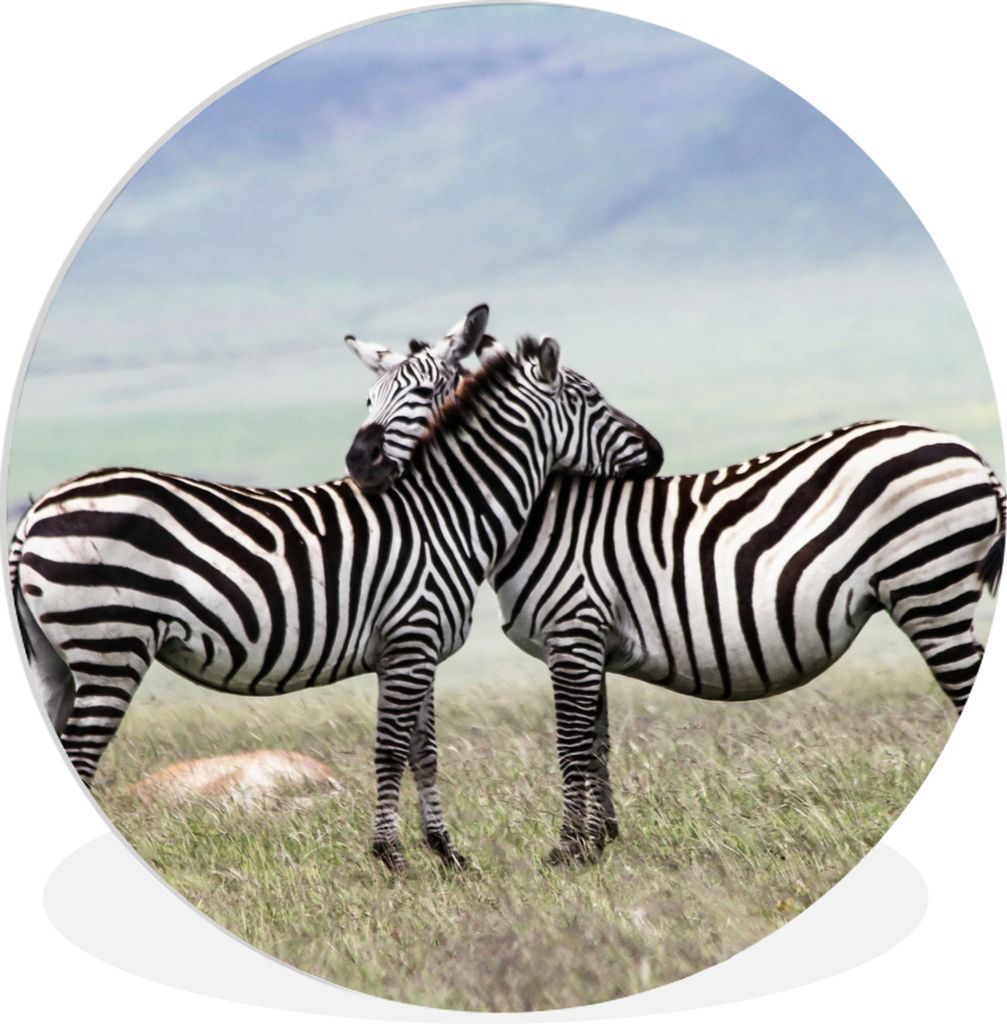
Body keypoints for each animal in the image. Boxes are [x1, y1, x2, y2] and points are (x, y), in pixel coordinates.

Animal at [9, 304, 664, 872]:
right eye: (594, 398)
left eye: (422, 393)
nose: (655, 452)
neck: (444, 509)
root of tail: (35, 512)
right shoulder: (410, 640)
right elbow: (390, 750)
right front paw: (392, 858)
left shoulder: (413, 648)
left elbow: (423, 752)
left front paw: (447, 855)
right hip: (110, 645)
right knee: (82, 754)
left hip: (52, 662)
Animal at [346, 334, 1005, 865]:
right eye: (367, 399)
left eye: (421, 392)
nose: (359, 461)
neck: (541, 514)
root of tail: (967, 450)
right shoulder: (589, 641)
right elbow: (597, 743)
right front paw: (598, 842)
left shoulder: (573, 631)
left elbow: (570, 745)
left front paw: (566, 852)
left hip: (929, 590)